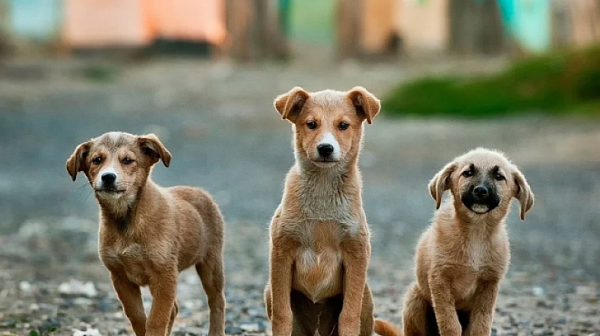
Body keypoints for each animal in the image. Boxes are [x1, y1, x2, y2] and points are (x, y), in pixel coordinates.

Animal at [65, 131, 225, 336]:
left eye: (128, 160)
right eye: (97, 160)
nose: (108, 177)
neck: (127, 220)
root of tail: (200, 192)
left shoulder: (164, 274)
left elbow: (156, 319)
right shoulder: (120, 276)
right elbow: (138, 317)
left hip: (211, 263)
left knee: (217, 301)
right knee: (174, 309)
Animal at [264, 88, 396, 336]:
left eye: (343, 125)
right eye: (311, 124)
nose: (325, 148)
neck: (323, 193)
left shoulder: (356, 252)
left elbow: (349, 315)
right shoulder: (282, 250)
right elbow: (282, 314)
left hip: (366, 295)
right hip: (269, 290)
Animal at [398, 148, 536, 336]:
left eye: (499, 176)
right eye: (467, 173)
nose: (481, 191)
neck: (476, 233)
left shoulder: (489, 284)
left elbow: (481, 325)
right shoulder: (440, 280)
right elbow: (450, 323)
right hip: (414, 299)